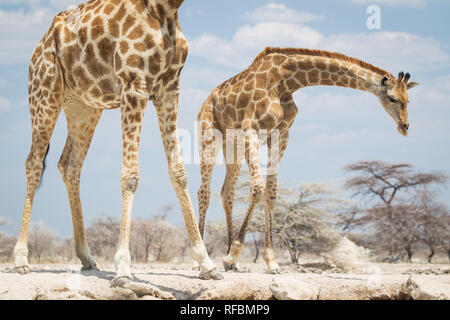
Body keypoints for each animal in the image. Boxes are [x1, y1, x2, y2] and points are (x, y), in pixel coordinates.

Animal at [10, 0, 221, 284]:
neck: (166, 9)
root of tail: (40, 45)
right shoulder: (134, 85)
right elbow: (130, 175)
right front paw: (122, 269)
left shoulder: (170, 88)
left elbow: (179, 172)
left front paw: (207, 263)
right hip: (44, 93)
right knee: (33, 162)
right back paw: (21, 259)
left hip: (83, 106)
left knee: (69, 164)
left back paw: (87, 257)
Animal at [197, 46, 418, 274]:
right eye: (392, 98)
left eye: (408, 100)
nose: (404, 127)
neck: (286, 81)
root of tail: (207, 100)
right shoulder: (252, 128)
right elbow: (258, 189)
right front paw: (232, 256)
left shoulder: (282, 134)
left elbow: (270, 193)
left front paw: (269, 261)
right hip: (209, 136)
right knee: (203, 191)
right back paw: (203, 259)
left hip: (234, 144)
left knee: (227, 192)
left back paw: (232, 260)